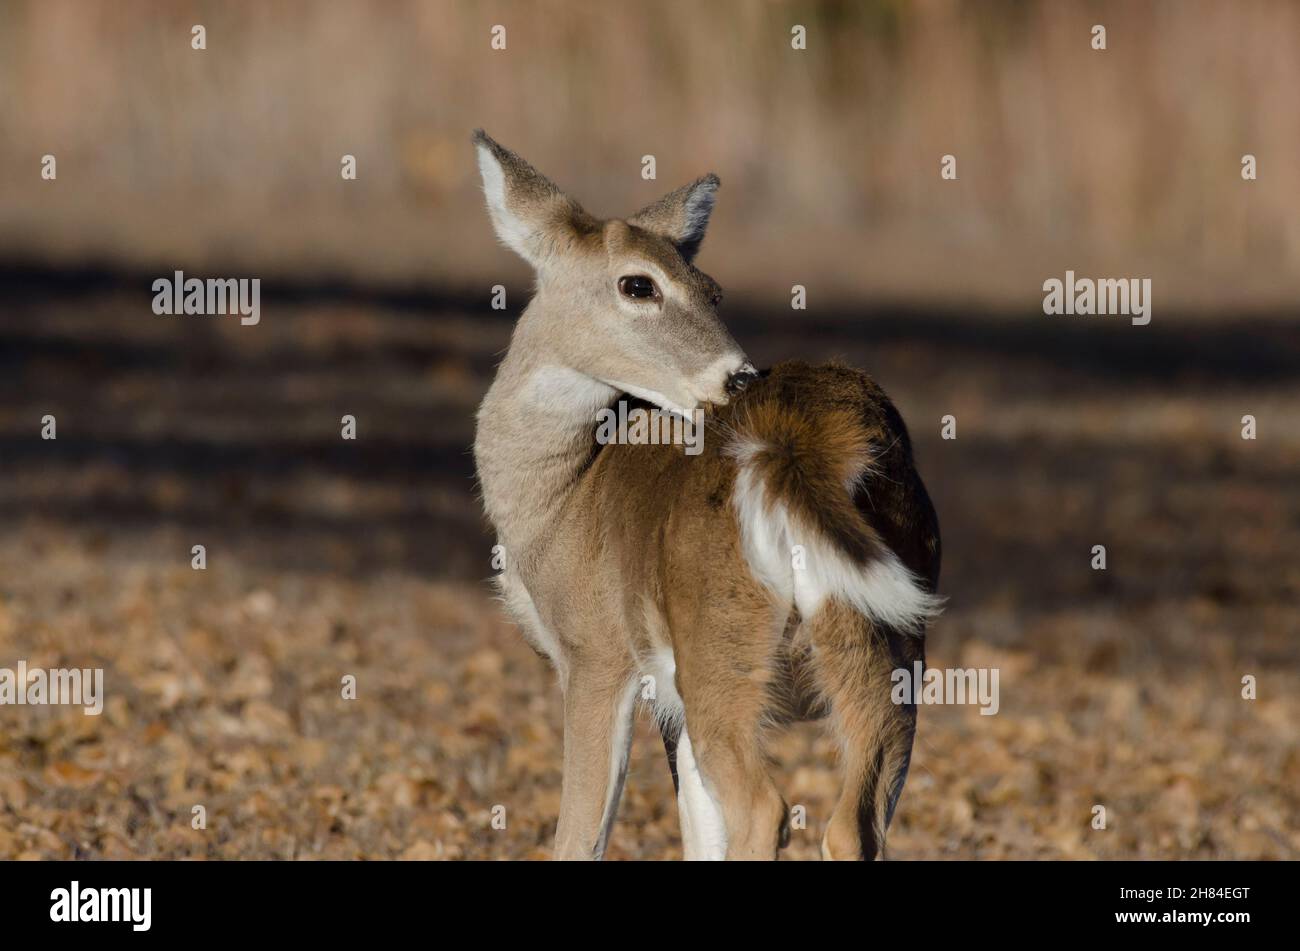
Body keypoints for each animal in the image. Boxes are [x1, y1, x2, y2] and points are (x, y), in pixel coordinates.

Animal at [470, 130, 942, 861]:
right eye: (639, 283)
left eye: (709, 291)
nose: (739, 375)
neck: (562, 498)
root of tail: (801, 439)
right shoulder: (670, 695)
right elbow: (698, 827)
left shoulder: (596, 650)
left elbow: (581, 835)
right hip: (885, 643)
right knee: (852, 823)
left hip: (720, 633)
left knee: (765, 807)